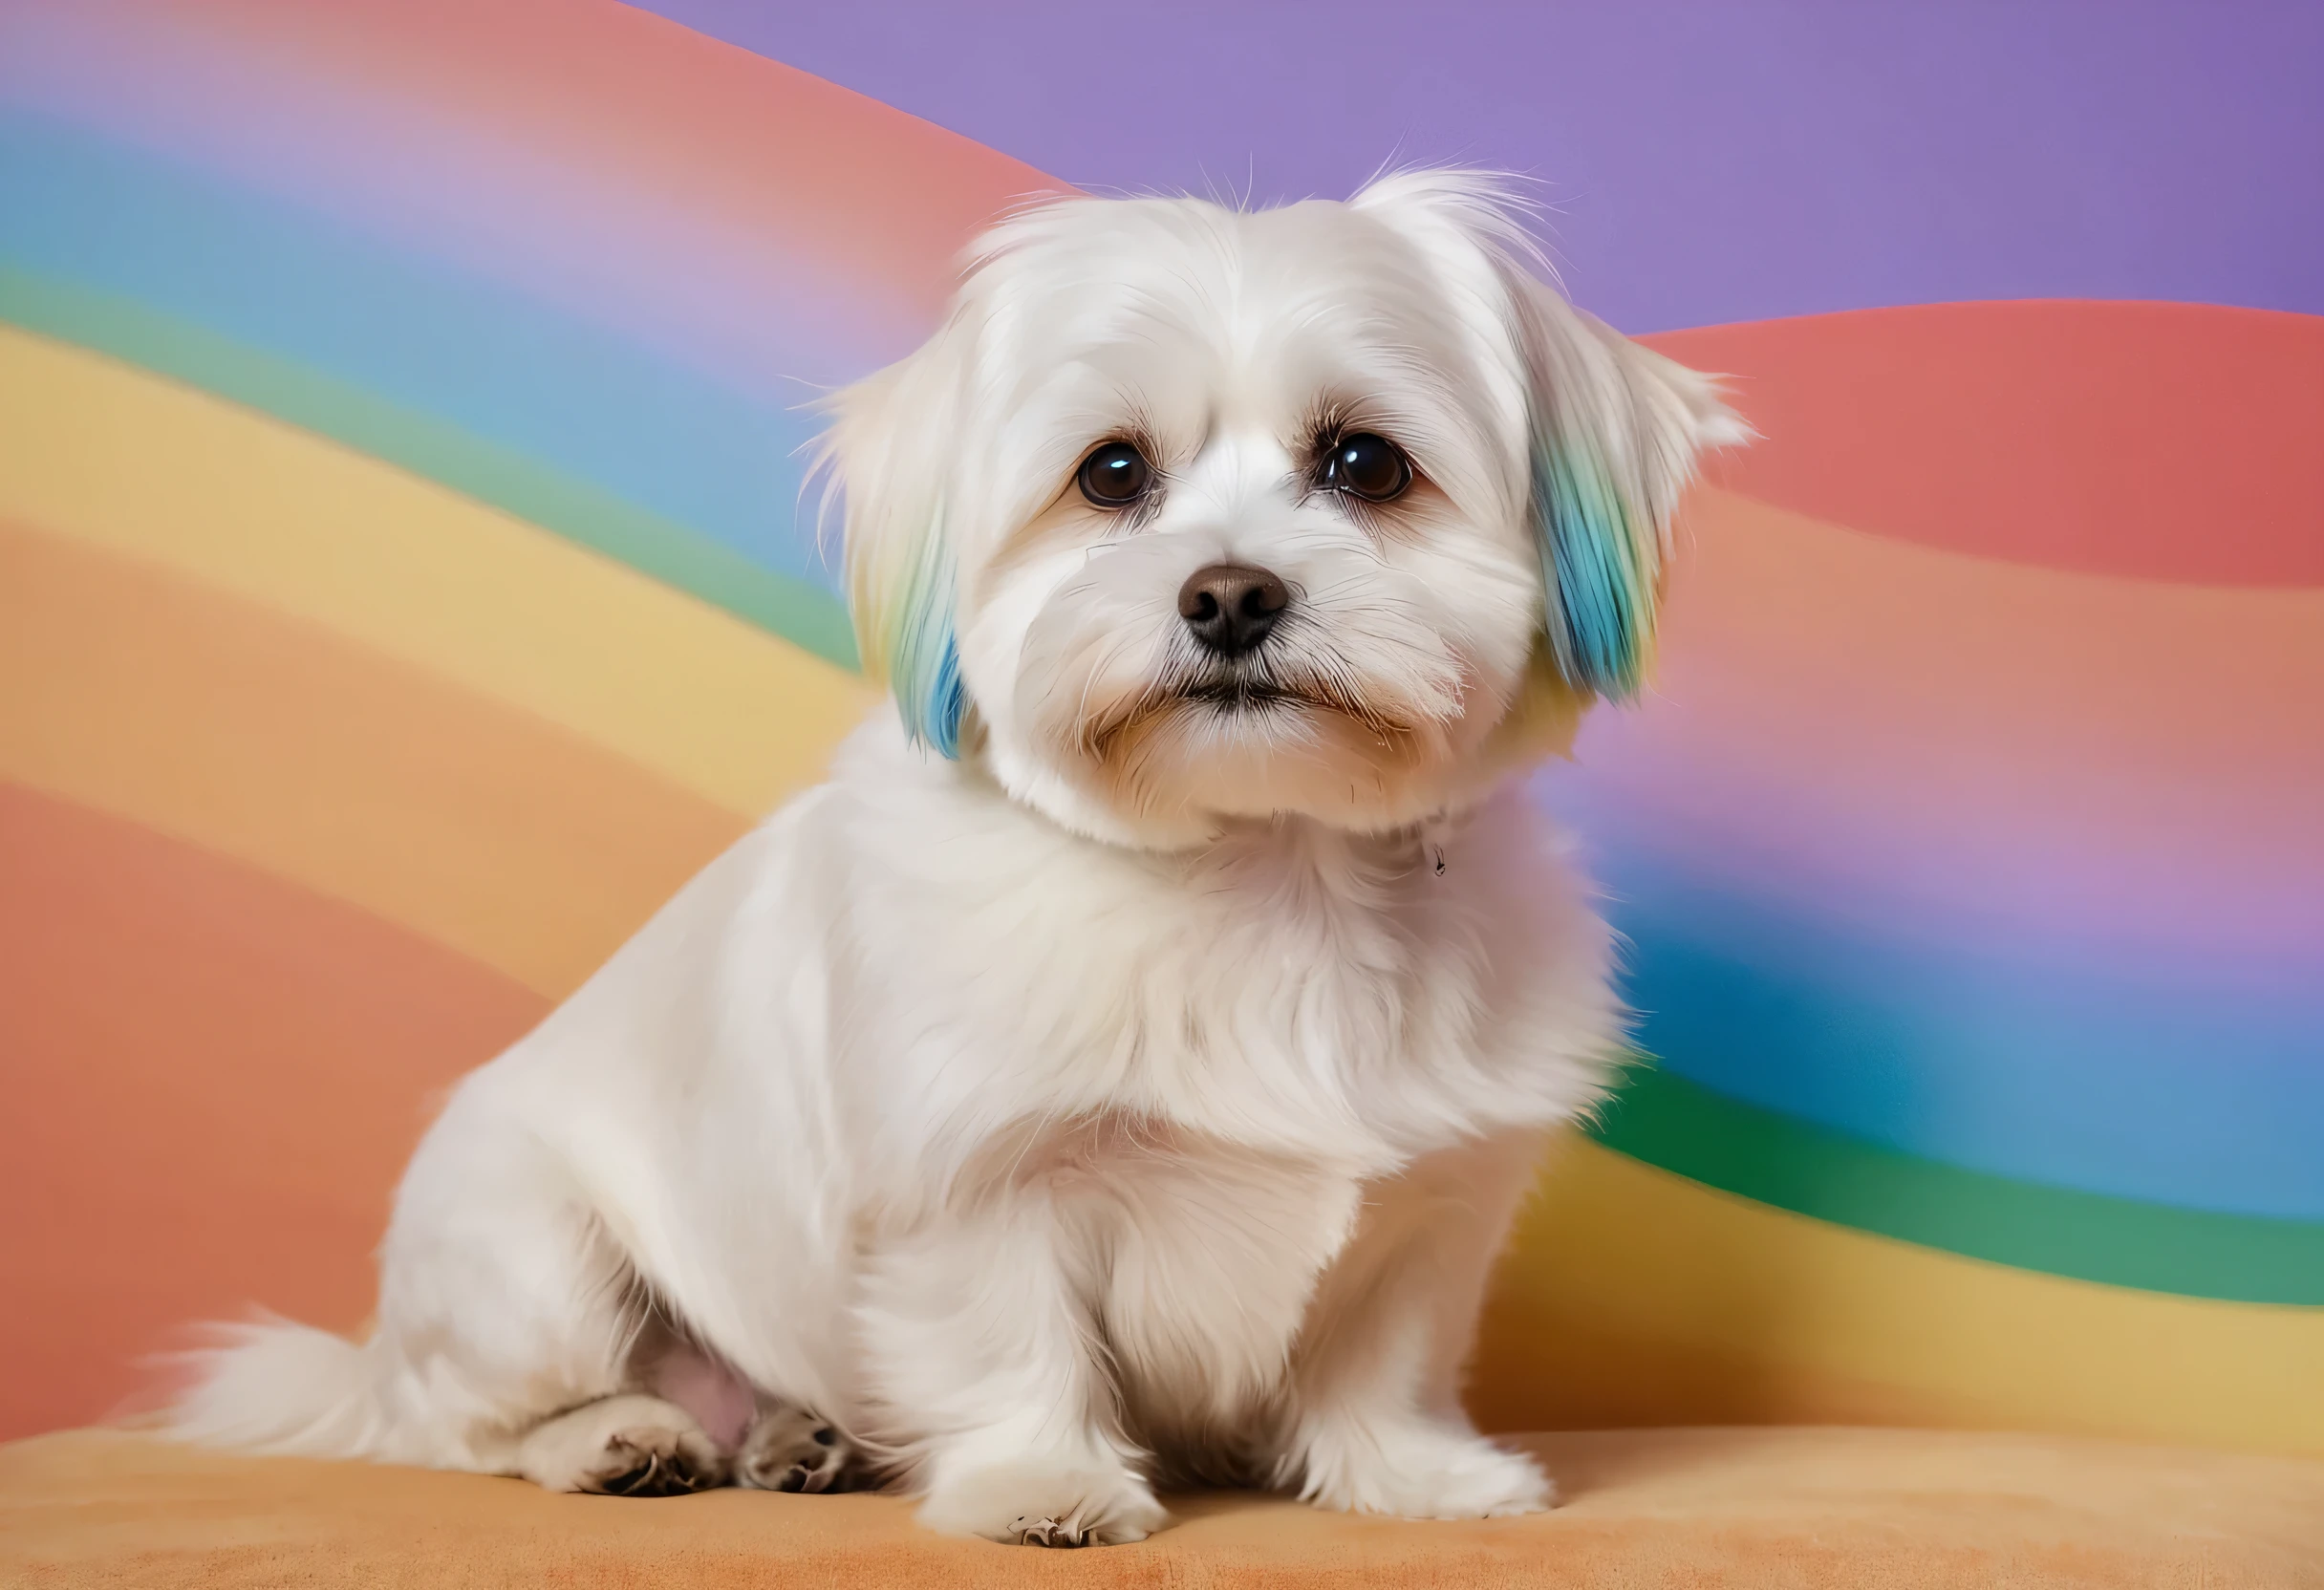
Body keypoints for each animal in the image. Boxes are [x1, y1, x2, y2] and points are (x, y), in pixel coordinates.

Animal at [171, 170, 1738, 1543]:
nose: (1230, 595)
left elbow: (1384, 1353)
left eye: (1366, 463)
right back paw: (619, 1439)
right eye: (1110, 474)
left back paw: (793, 1438)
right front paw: (1040, 1484)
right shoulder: (974, 1185)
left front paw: (1411, 1476)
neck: (1260, 867)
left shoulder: (1432, 1208)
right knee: (465, 1427)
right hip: (531, 1256)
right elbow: (1010, 1336)